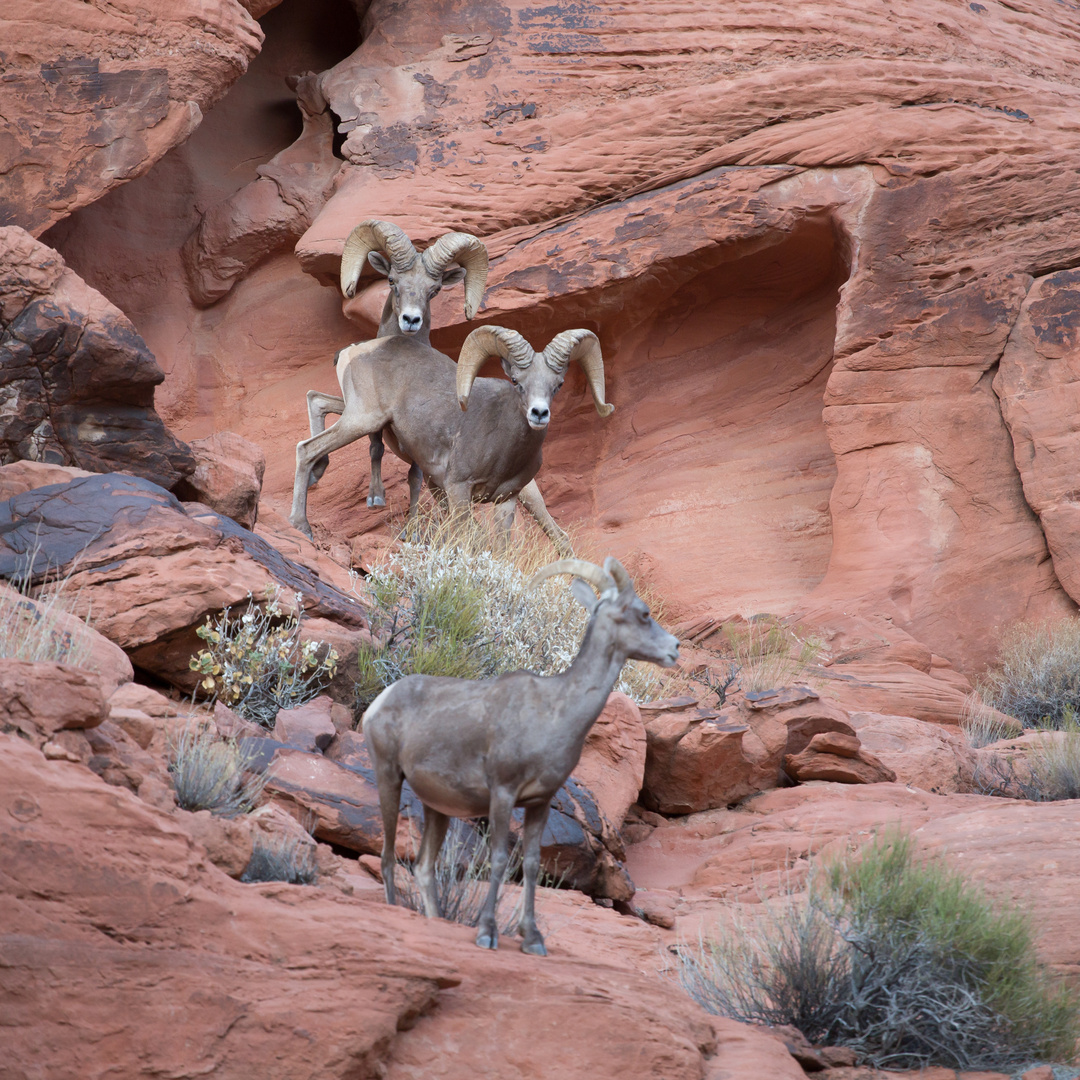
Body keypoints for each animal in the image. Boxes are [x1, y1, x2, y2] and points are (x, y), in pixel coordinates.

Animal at [289, 324, 617, 548]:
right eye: (516, 381)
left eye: (557, 384)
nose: (539, 413)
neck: (502, 449)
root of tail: (355, 350)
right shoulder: (458, 491)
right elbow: (469, 540)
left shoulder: (507, 499)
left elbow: (499, 549)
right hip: (362, 419)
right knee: (306, 448)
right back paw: (301, 526)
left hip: (360, 416)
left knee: (316, 400)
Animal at [304, 220, 490, 509]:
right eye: (392, 281)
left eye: (434, 290)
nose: (411, 320)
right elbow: (375, 447)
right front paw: (375, 496)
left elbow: (414, 476)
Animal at [367, 557, 678, 954]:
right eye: (643, 613)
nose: (675, 648)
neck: (553, 713)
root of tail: (380, 702)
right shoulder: (502, 794)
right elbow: (500, 859)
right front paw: (487, 933)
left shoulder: (539, 802)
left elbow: (530, 865)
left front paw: (532, 939)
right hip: (388, 776)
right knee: (388, 858)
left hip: (436, 807)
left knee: (423, 867)